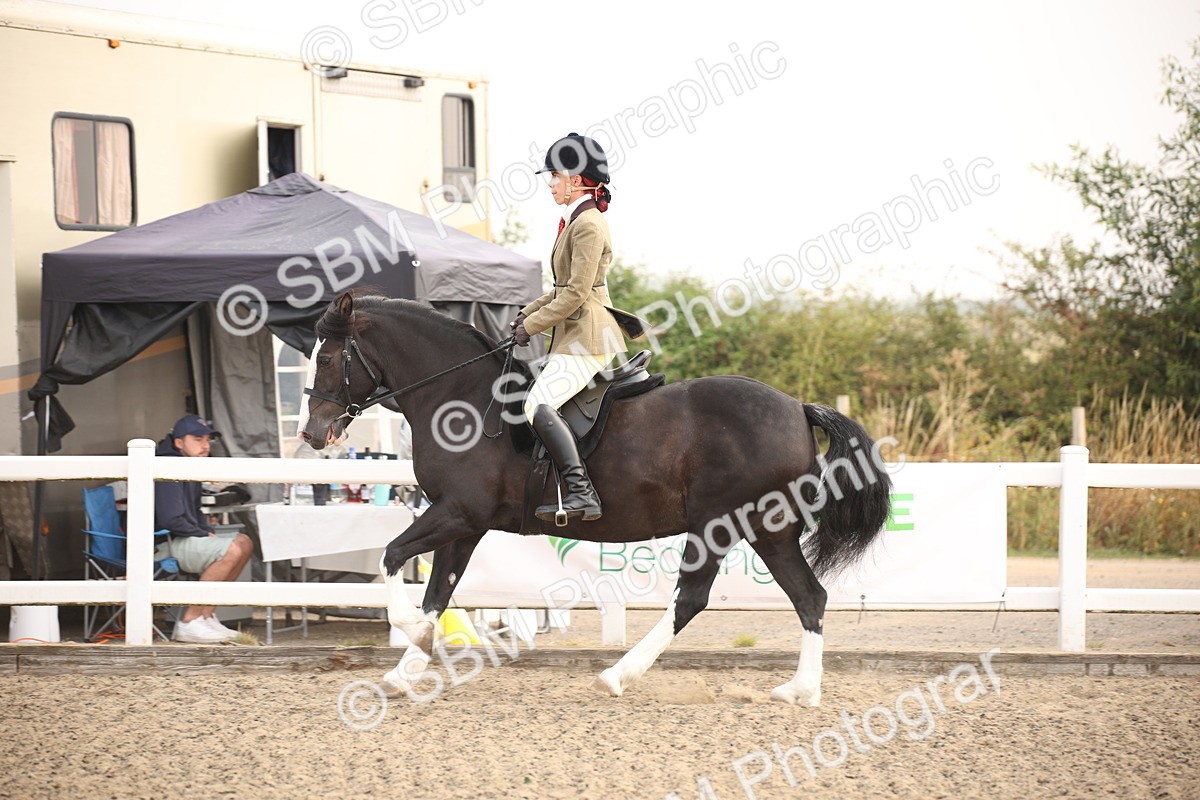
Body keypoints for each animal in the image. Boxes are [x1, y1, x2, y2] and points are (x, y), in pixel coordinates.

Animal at [299, 291, 892, 706]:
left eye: (327, 359)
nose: (311, 433)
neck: (459, 399)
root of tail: (796, 407)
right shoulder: (464, 524)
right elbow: (437, 592)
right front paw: (406, 671)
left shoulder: (456, 513)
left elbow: (392, 558)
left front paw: (411, 635)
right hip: (756, 528)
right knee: (801, 597)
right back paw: (799, 691)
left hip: (731, 524)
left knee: (706, 598)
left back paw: (617, 676)